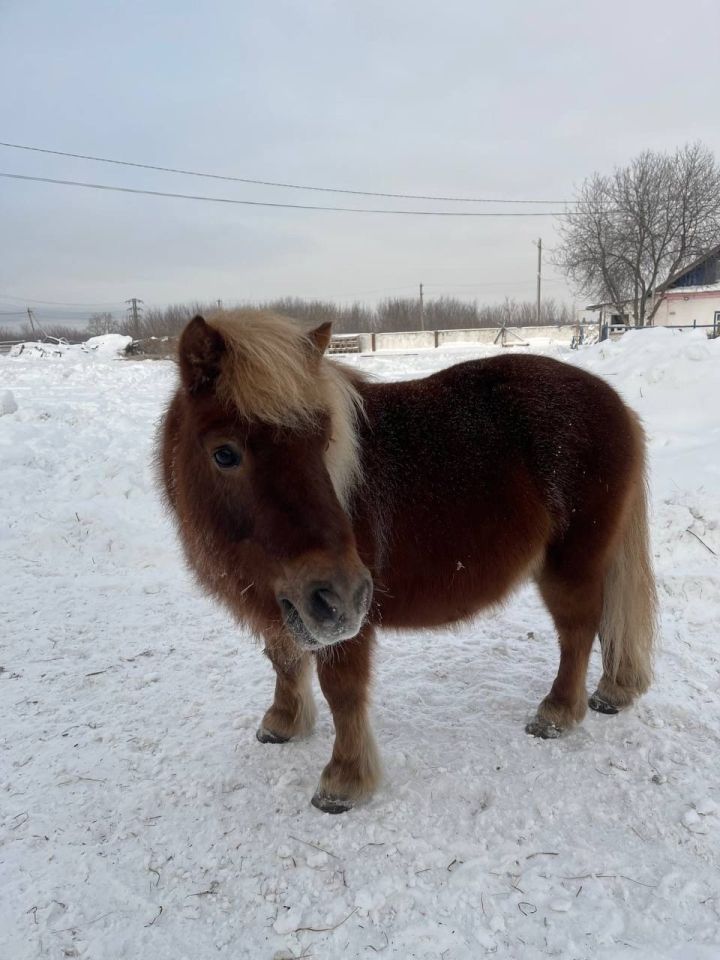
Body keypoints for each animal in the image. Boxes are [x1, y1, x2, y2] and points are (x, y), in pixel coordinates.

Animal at [159, 312, 660, 812]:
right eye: (225, 453)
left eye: (324, 442)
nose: (343, 592)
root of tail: (615, 403)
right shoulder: (282, 601)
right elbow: (283, 660)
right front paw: (282, 723)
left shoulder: (343, 621)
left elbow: (342, 690)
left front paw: (344, 780)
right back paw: (613, 691)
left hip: (571, 564)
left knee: (579, 629)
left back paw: (556, 714)